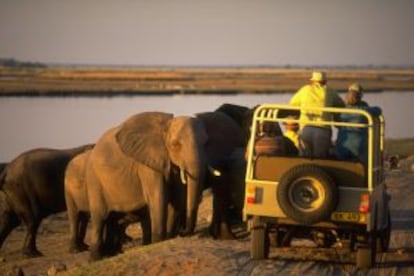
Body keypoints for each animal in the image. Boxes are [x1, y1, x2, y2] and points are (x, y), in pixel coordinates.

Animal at [85, 111, 207, 260]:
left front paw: (168, 237)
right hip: (94, 180)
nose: (183, 233)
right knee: (99, 217)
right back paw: (96, 259)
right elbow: (158, 198)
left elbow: (177, 200)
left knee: (112, 220)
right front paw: (158, 241)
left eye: (206, 143)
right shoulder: (147, 165)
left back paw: (111, 253)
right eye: (175, 144)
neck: (164, 128)